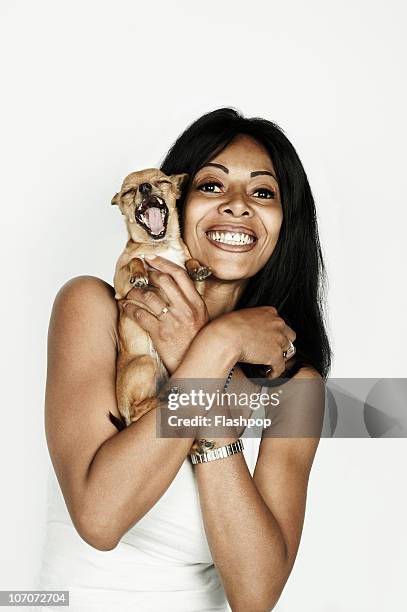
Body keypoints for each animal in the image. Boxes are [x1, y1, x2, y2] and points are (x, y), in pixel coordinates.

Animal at [108, 169, 212, 430]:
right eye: (128, 191)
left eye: (162, 181)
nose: (144, 187)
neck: (160, 245)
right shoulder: (120, 285)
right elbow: (135, 260)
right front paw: (140, 273)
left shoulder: (195, 288)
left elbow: (189, 262)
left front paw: (197, 268)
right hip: (146, 364)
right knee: (137, 412)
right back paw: (165, 396)